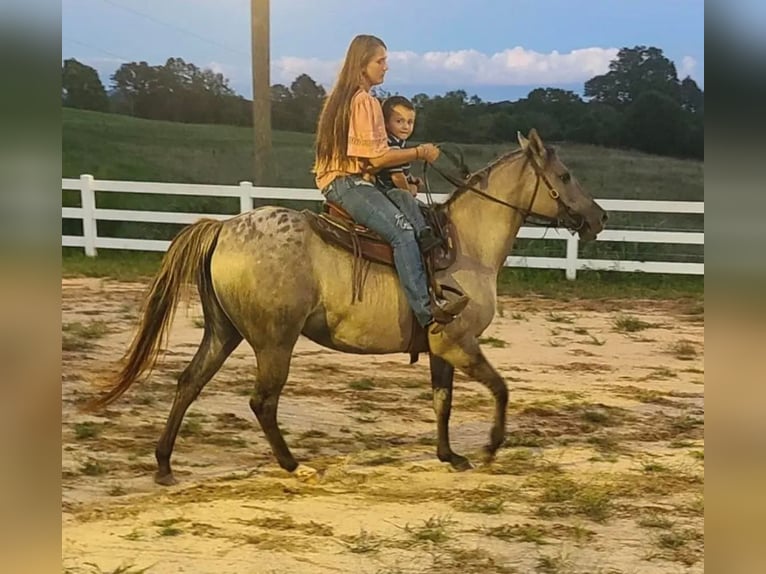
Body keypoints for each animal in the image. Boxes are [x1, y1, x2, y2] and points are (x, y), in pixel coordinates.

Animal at [90, 129, 608, 486]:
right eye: (564, 176)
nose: (599, 217)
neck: (465, 245)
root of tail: (223, 228)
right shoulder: (459, 341)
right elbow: (500, 389)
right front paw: (490, 447)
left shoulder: (441, 348)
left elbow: (442, 401)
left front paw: (450, 456)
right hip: (274, 343)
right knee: (262, 402)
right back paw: (292, 464)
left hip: (223, 332)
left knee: (189, 383)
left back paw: (164, 464)